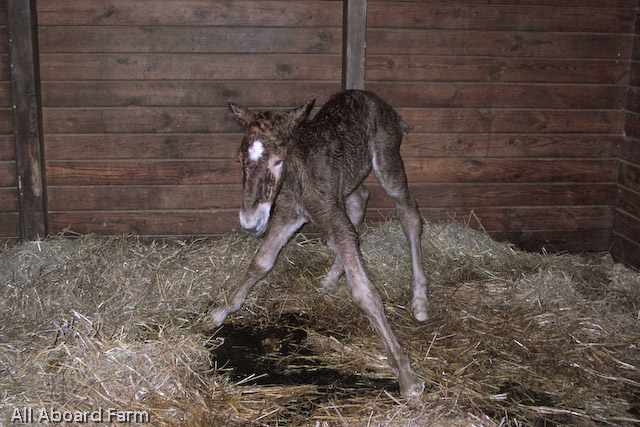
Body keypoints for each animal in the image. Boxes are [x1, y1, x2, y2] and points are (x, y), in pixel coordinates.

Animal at [211, 91, 430, 398]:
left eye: (278, 160)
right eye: (240, 157)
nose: (249, 221)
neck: (297, 178)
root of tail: (379, 101)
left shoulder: (323, 213)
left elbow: (364, 294)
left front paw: (407, 376)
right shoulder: (287, 215)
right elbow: (261, 263)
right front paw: (222, 311)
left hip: (387, 160)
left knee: (408, 212)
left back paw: (420, 300)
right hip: (347, 181)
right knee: (360, 199)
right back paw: (330, 279)